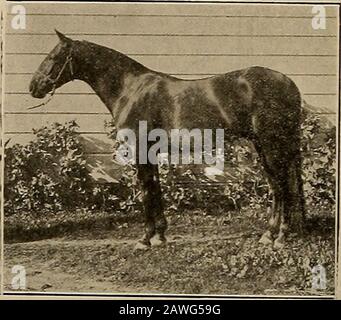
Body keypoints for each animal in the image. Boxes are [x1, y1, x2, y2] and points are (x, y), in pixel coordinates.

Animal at [29, 30, 304, 250]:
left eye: (53, 58)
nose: (33, 87)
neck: (130, 89)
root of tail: (289, 83)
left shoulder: (140, 151)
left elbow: (145, 192)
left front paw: (144, 240)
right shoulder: (150, 153)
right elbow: (155, 189)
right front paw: (160, 236)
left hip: (271, 145)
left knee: (283, 186)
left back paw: (280, 237)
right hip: (264, 146)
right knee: (277, 187)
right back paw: (269, 235)